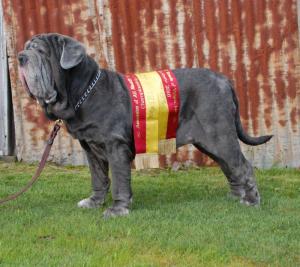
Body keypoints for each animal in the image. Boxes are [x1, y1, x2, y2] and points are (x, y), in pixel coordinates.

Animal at [18, 33, 272, 218]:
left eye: (40, 51)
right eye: (27, 47)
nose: (20, 57)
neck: (83, 92)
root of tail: (225, 80)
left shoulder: (115, 146)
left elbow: (119, 180)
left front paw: (117, 209)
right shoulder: (91, 148)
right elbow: (98, 178)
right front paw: (94, 202)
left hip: (219, 136)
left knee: (242, 166)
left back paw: (251, 201)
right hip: (210, 142)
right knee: (230, 167)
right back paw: (236, 197)